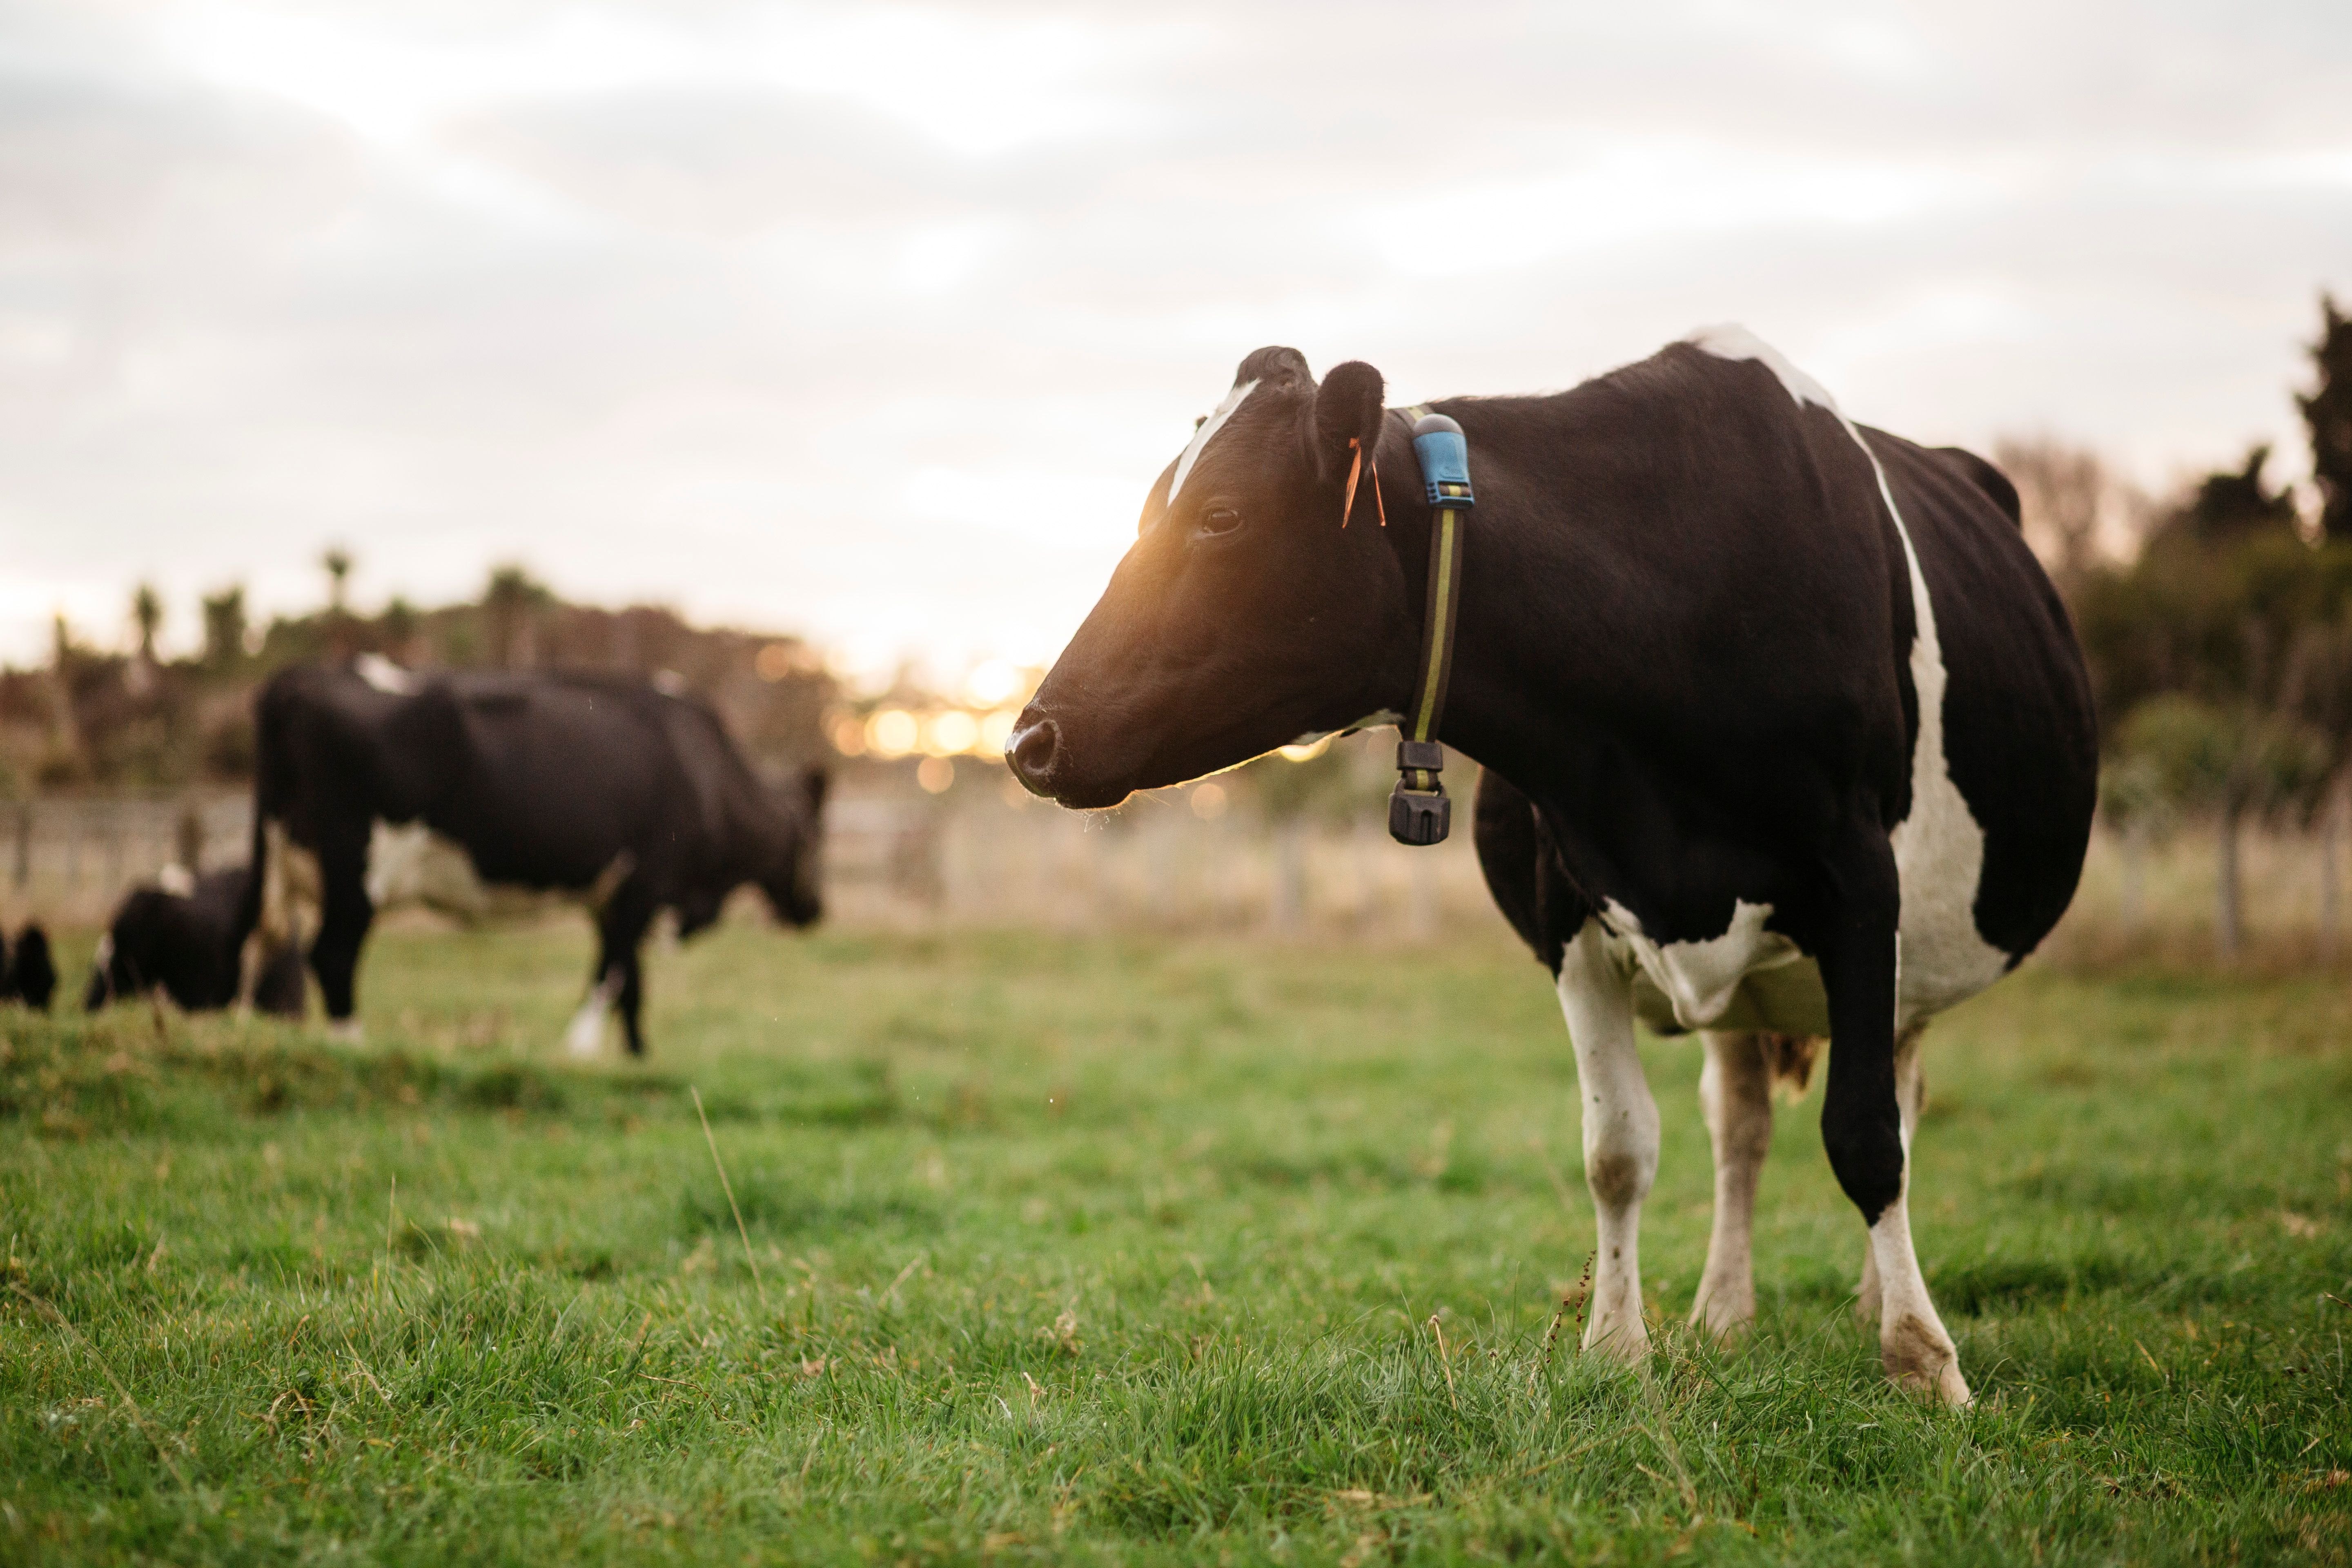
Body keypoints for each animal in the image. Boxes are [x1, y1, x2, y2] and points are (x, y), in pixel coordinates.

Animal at [225, 658, 823, 1062]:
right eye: (814, 843)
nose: (815, 911)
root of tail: (297, 680)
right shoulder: (646, 882)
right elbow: (613, 974)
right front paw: (581, 1049)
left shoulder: (611, 897)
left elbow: (632, 984)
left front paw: (636, 1056)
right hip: (358, 871)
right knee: (331, 956)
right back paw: (351, 1046)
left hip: (278, 862)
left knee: (257, 943)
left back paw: (235, 1035)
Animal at [1011, 324, 2098, 1401]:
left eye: (1222, 515)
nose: (1030, 738)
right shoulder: (1566, 906)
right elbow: (1617, 1146)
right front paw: (1617, 1346)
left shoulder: (1859, 885)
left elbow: (1865, 1136)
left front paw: (1924, 1364)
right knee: (1738, 1122)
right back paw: (1723, 1313)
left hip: (1908, 952)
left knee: (1896, 1104)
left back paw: (1877, 1303)